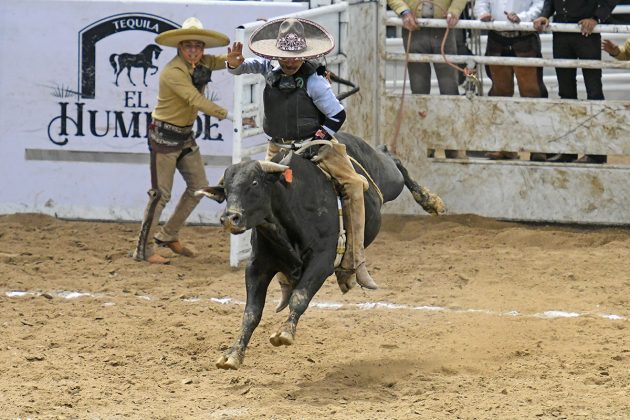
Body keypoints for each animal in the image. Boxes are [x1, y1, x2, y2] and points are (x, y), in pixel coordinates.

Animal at [198, 133, 444, 370]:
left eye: (255, 182)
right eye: (226, 190)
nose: (230, 218)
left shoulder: (322, 261)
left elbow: (299, 296)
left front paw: (285, 332)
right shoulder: (257, 267)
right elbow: (251, 313)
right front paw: (233, 354)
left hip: (389, 178)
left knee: (393, 160)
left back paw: (430, 201)